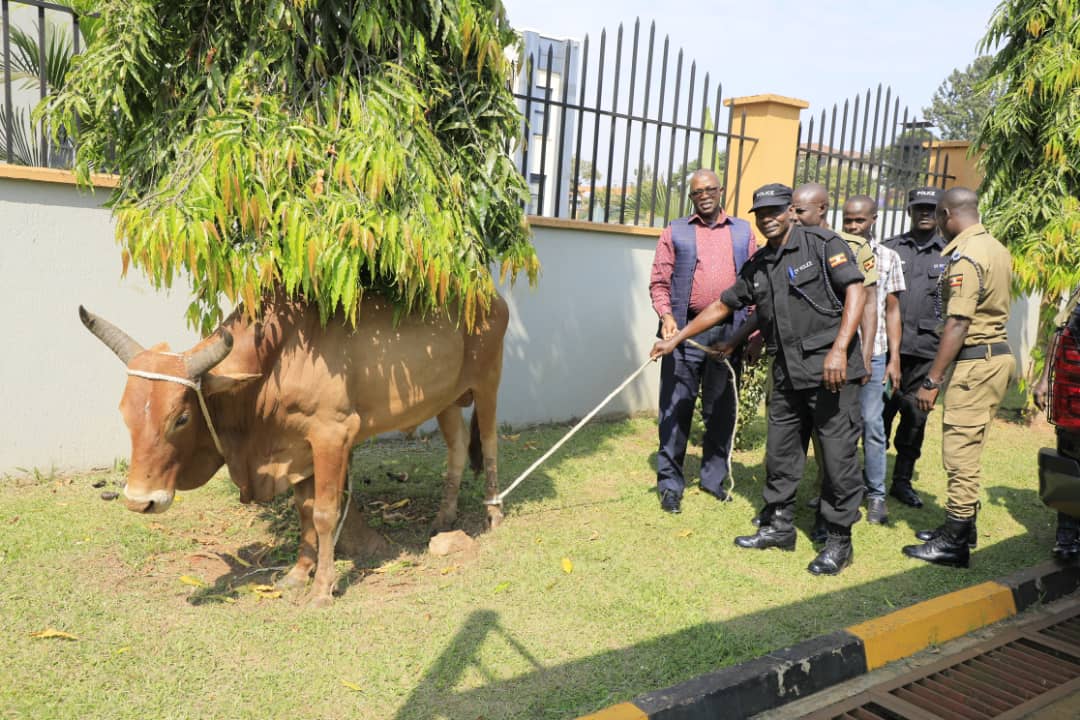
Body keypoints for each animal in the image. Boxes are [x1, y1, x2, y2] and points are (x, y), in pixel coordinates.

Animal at [79, 291, 508, 607]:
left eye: (181, 418)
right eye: (124, 412)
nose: (140, 501)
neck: (276, 363)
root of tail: (494, 298)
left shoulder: (332, 435)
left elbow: (324, 514)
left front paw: (322, 589)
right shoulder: (297, 450)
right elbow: (304, 513)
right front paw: (298, 575)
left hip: (487, 383)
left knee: (488, 445)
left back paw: (494, 514)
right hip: (445, 401)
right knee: (456, 449)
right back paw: (444, 517)